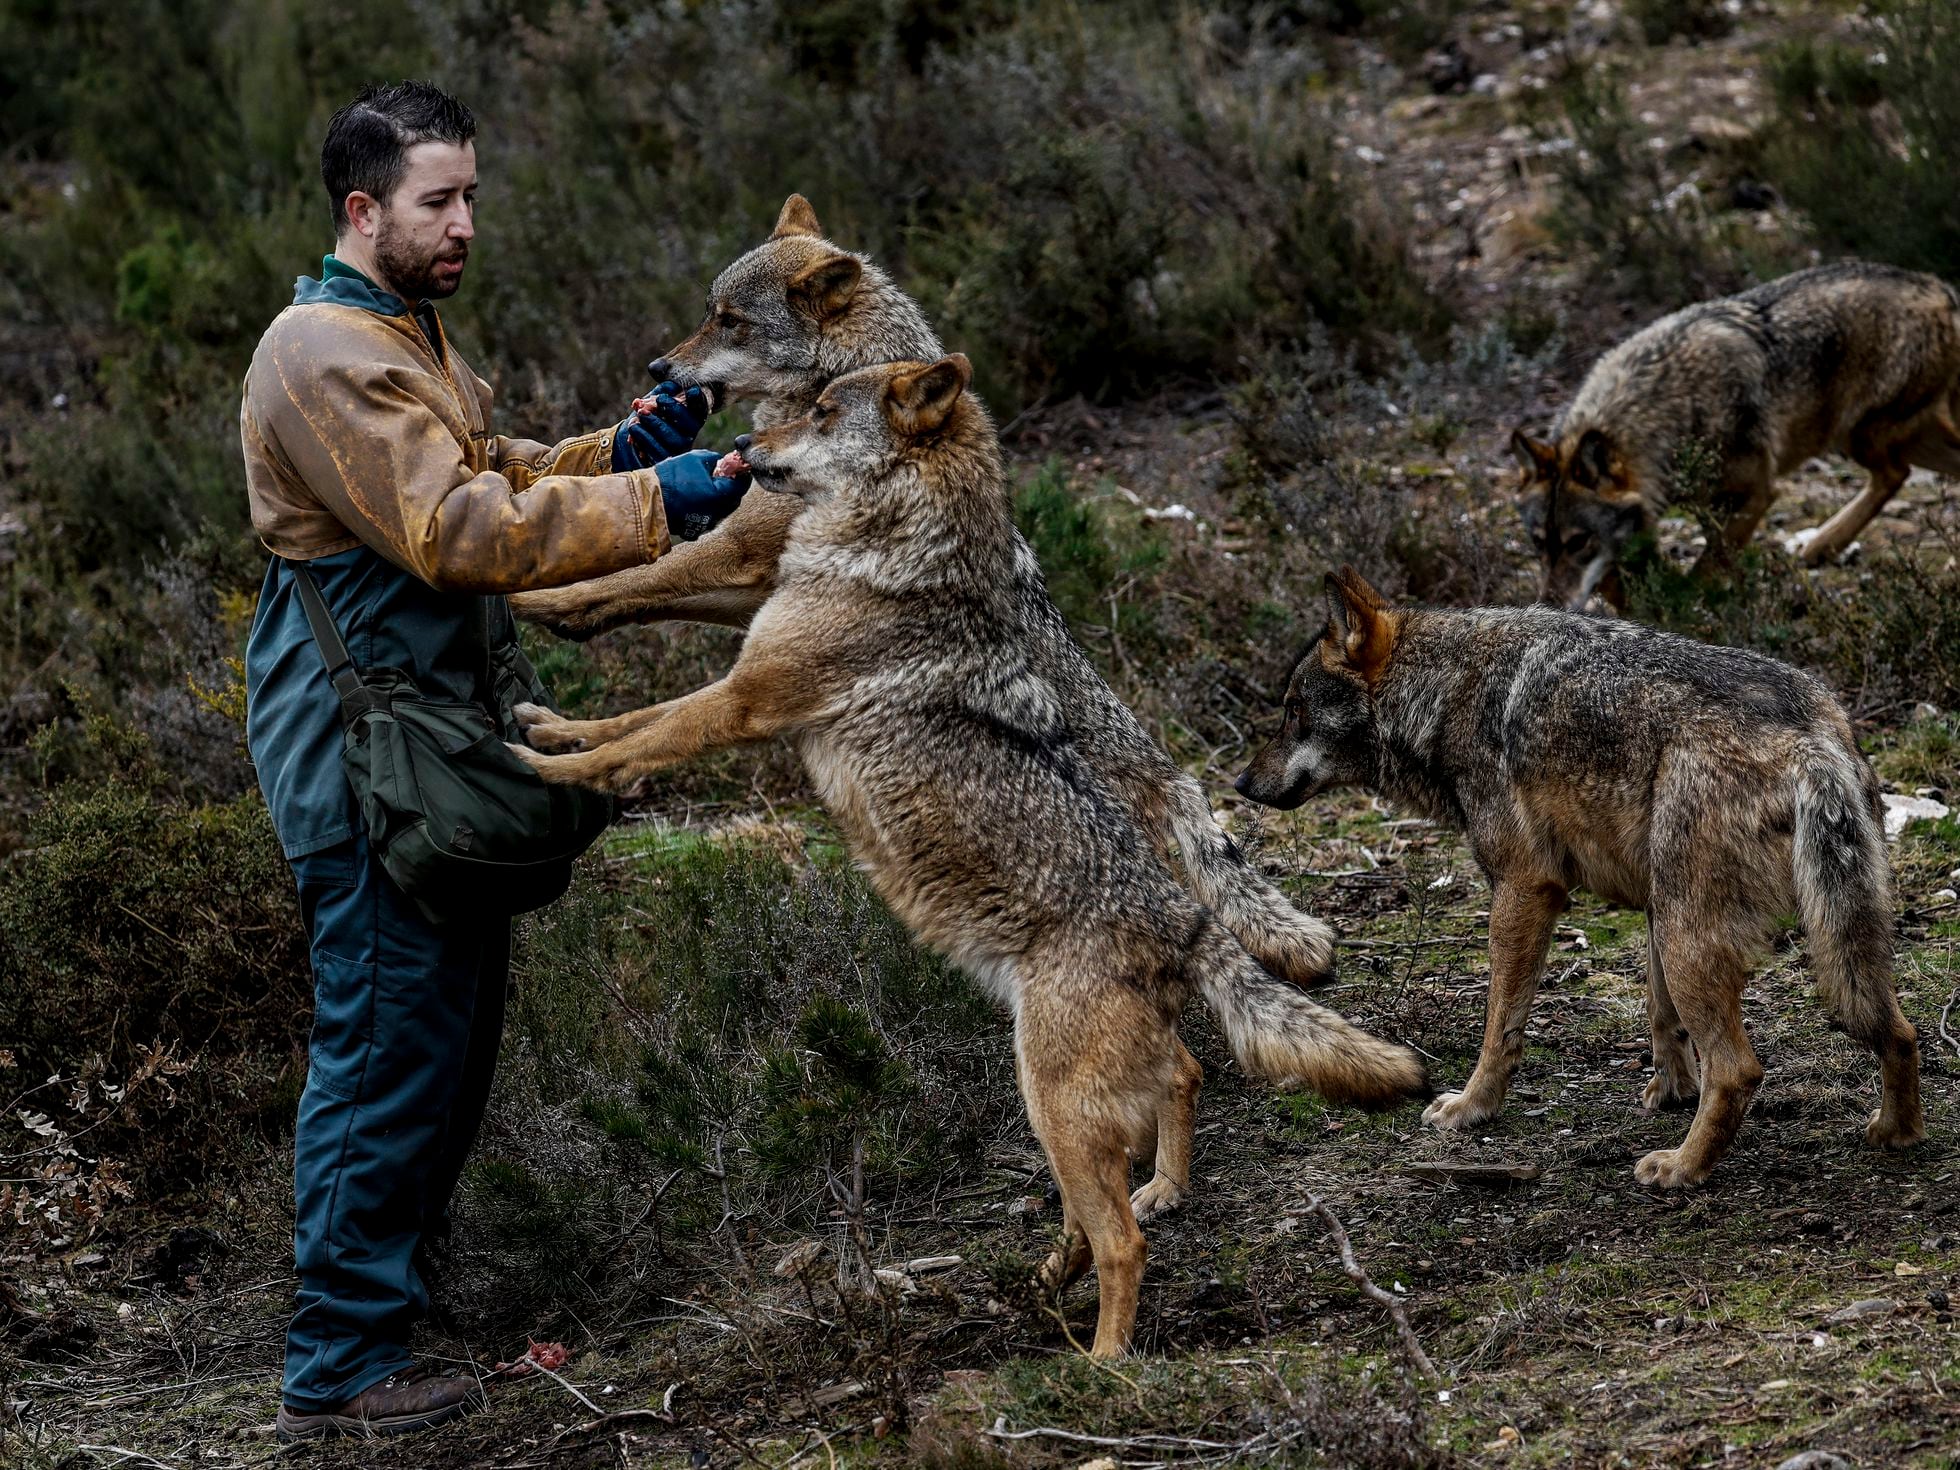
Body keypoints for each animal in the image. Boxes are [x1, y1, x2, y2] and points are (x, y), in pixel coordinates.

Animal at [509, 362, 1426, 1364]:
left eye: (822, 411)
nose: (741, 449)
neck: (890, 555)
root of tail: (1181, 918)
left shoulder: (746, 699)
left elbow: (635, 735)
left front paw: (542, 764)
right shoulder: (742, 687)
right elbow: (625, 723)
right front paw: (547, 725)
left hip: (1049, 1099)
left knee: (1122, 1241)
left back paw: (1101, 1365)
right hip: (1068, 1101)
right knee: (1158, 1117)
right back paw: (1064, 1263)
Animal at [1230, 568, 1920, 1191]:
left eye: (1293, 712)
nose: (1239, 784)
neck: (1442, 690)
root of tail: (1812, 742)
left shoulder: (1525, 890)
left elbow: (1500, 1026)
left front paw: (1472, 1109)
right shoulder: (1649, 906)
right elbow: (1659, 1015)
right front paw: (1671, 1089)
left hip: (1694, 938)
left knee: (1740, 1070)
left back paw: (1681, 1169)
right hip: (1803, 930)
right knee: (1899, 1031)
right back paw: (1898, 1132)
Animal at [1513, 258, 1960, 611]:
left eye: (1578, 542)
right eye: (1538, 544)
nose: (1548, 607)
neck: (1675, 410)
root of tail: (1940, 286)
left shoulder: (1756, 494)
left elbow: (1706, 568)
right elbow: (1621, 579)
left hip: (1861, 437)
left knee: (1894, 473)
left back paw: (1823, 543)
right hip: (1881, 438)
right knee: (1900, 474)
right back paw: (1822, 545)